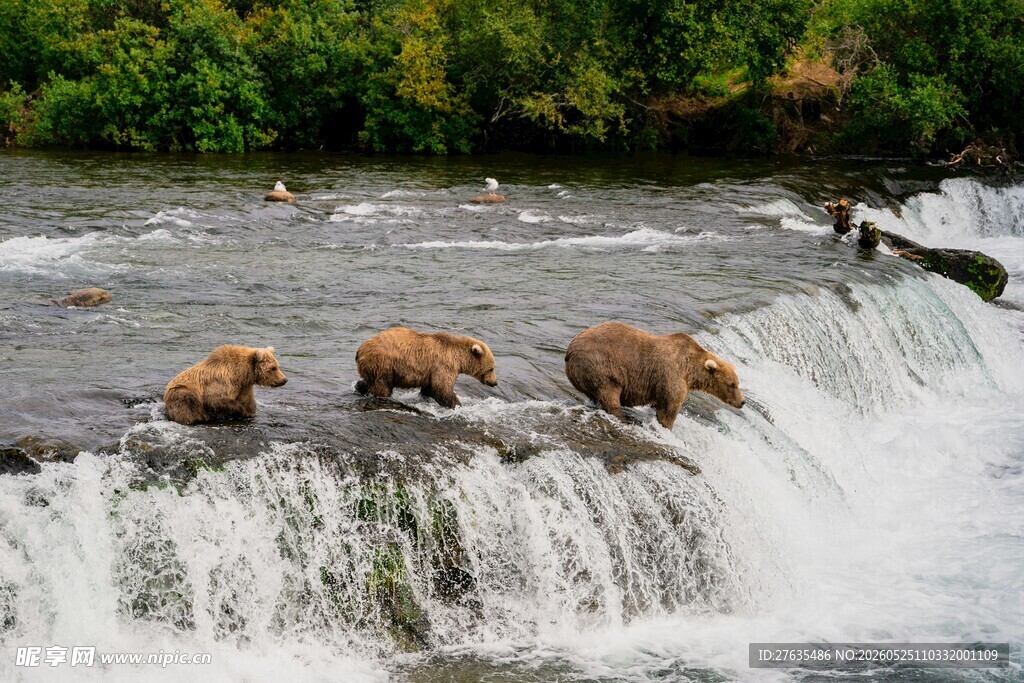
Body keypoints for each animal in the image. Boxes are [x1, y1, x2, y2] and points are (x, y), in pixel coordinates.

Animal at [354, 327, 497, 408]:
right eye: (491, 368)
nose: (494, 382)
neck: (458, 358)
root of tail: (360, 349)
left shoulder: (431, 371)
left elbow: (430, 388)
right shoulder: (444, 365)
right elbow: (442, 388)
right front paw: (457, 405)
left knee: (370, 381)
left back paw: (360, 387)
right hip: (384, 364)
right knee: (382, 385)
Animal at [564, 321, 744, 430]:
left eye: (737, 383)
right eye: (732, 385)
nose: (742, 402)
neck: (691, 371)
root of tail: (569, 350)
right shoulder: (672, 375)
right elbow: (669, 408)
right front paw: (667, 426)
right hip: (601, 366)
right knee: (609, 393)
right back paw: (623, 417)